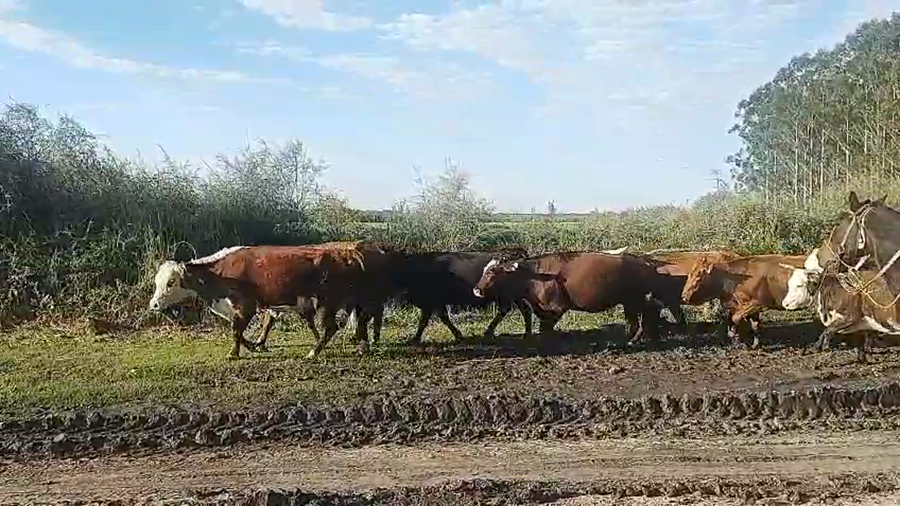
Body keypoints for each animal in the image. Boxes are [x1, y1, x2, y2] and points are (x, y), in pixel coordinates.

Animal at [148, 242, 398, 359]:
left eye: (170, 282)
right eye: (156, 282)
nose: (154, 304)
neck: (221, 273)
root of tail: (350, 253)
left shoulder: (245, 305)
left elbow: (236, 330)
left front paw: (233, 353)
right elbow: (239, 330)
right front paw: (253, 346)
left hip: (327, 304)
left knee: (332, 328)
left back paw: (313, 353)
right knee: (361, 323)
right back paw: (362, 347)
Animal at [471, 251, 667, 343]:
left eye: (492, 271)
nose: (476, 290)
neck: (535, 275)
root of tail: (643, 260)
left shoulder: (558, 307)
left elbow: (546, 328)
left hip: (636, 298)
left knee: (648, 314)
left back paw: (637, 339)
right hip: (630, 301)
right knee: (640, 318)